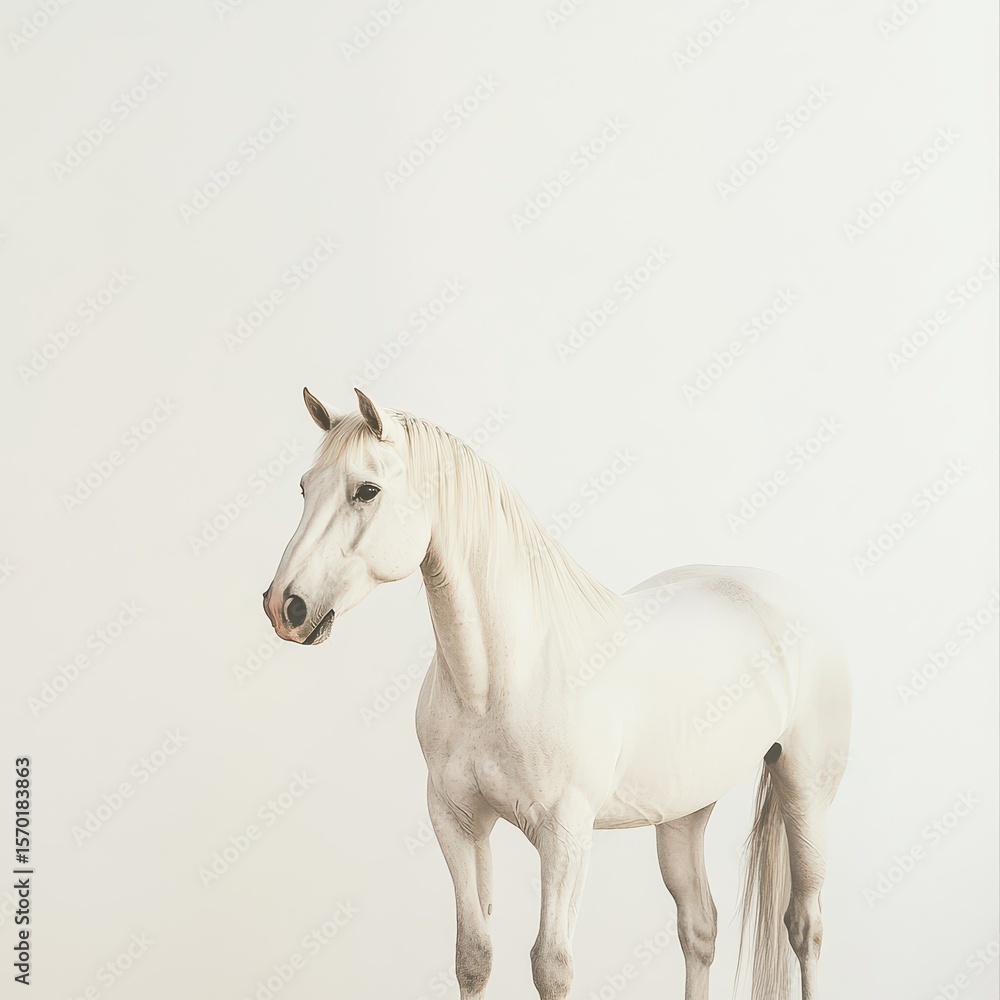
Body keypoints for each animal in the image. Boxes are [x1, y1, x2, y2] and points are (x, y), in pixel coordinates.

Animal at [263, 387, 852, 1000]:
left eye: (367, 490)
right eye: (304, 487)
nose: (285, 606)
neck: (502, 677)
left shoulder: (565, 833)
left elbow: (552, 964)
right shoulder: (456, 820)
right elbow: (473, 956)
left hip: (806, 792)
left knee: (804, 924)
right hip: (685, 809)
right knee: (700, 926)